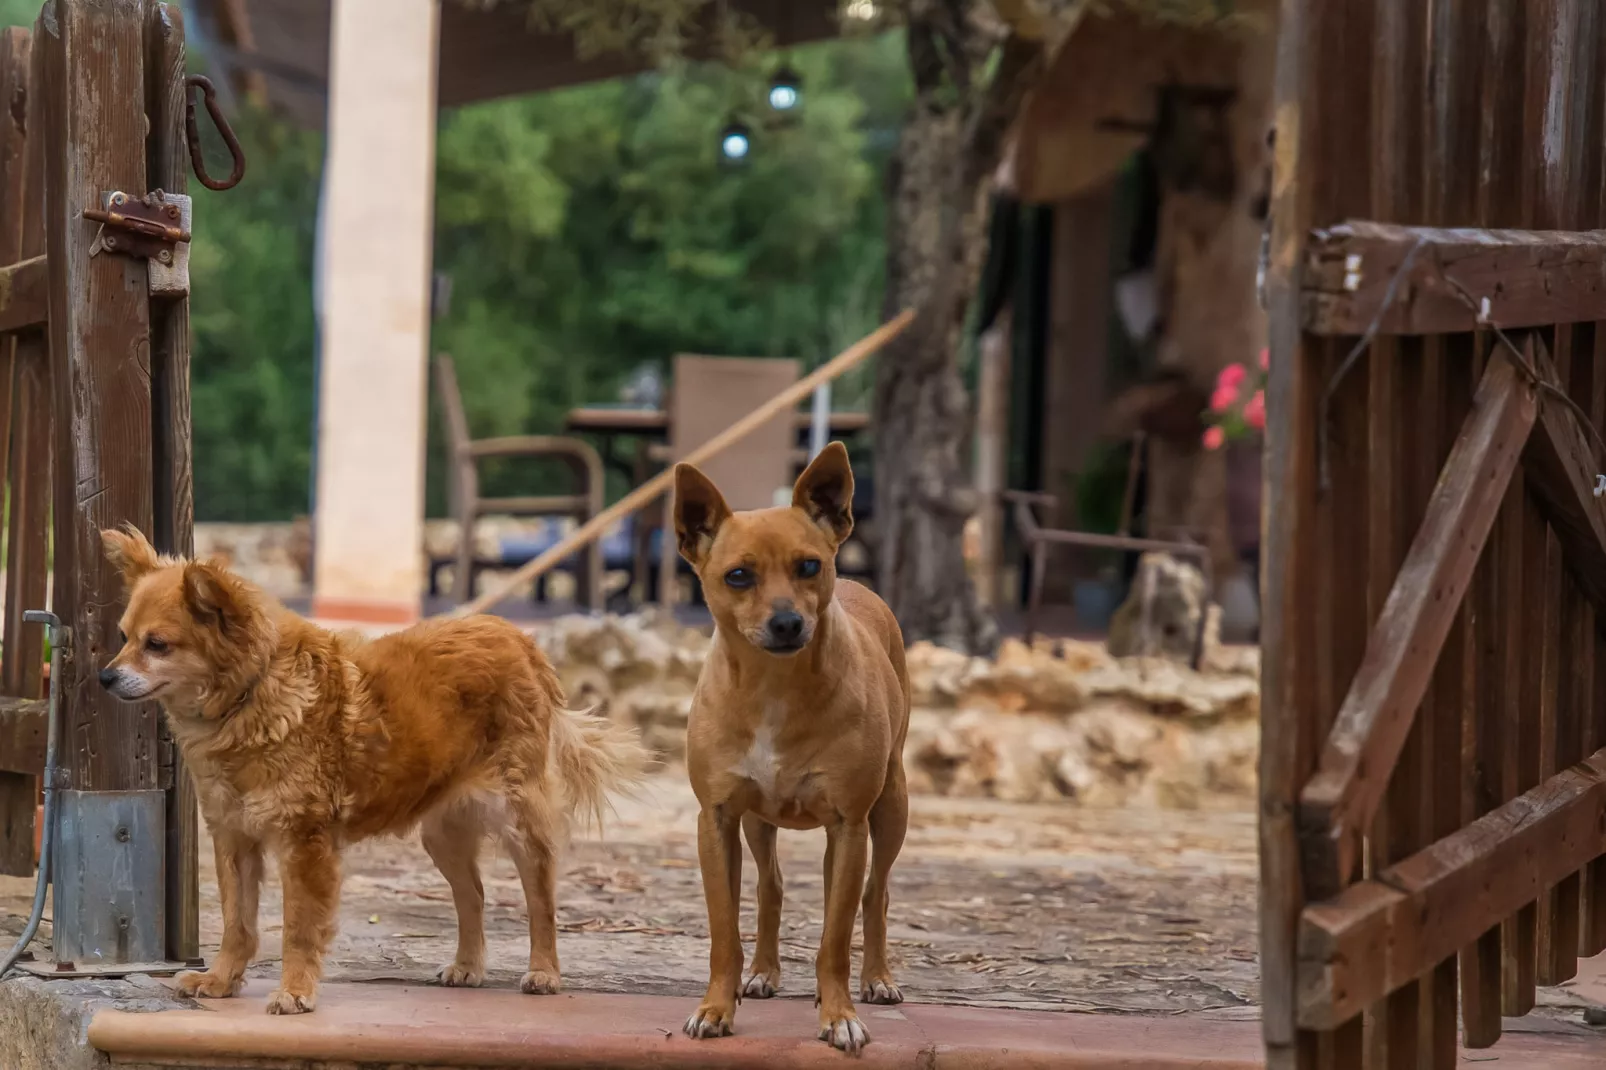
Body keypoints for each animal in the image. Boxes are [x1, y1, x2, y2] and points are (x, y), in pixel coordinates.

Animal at [671, 440, 912, 1047]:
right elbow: (724, 930)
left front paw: (839, 1014)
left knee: (872, 894)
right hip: (760, 822)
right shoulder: (717, 819)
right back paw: (763, 971)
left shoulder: (849, 824)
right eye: (738, 576)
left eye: (808, 566)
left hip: (890, 807)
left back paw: (877, 978)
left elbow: (835, 938)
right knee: (772, 885)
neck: (773, 688)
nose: (786, 622)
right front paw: (716, 1006)